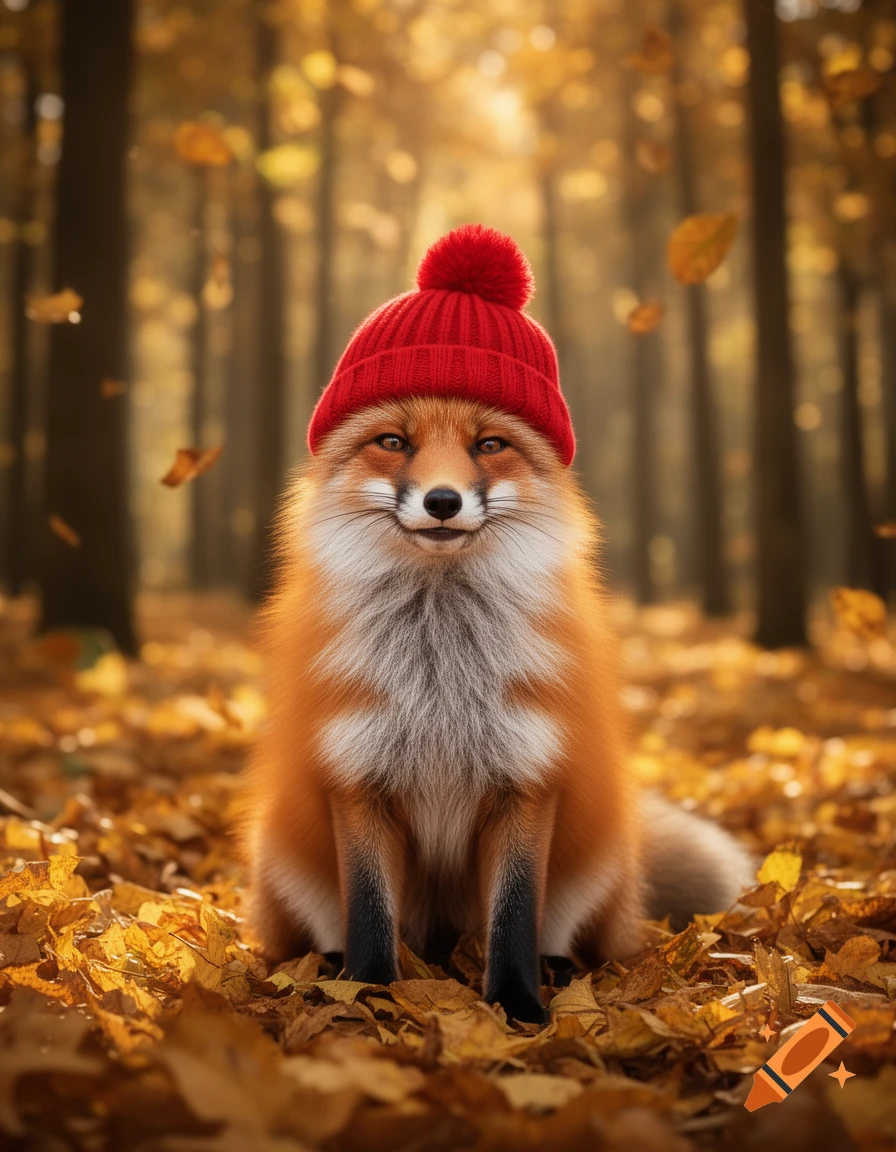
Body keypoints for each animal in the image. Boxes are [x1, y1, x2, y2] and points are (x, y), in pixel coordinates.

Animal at [242, 390, 751, 1024]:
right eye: (393, 442)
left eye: (489, 444)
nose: (442, 500)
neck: (440, 685)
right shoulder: (356, 782)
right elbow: (368, 911)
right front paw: (370, 994)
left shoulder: (528, 782)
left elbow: (513, 916)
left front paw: (518, 1006)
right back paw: (332, 967)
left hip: (597, 863)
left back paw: (559, 972)